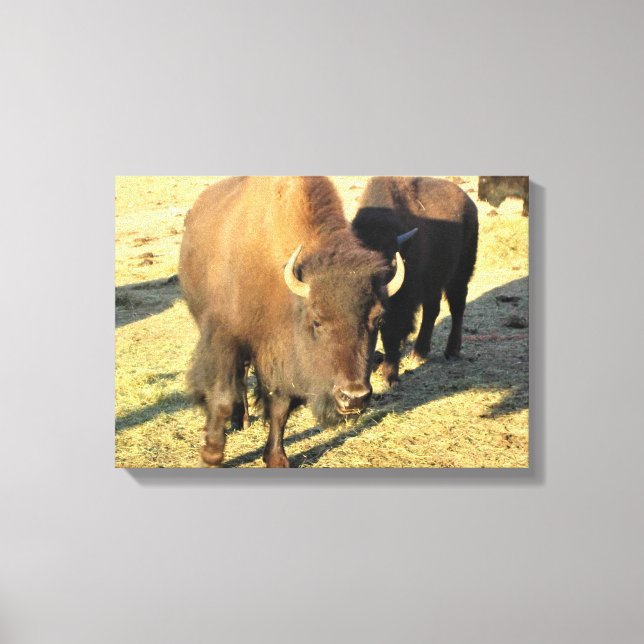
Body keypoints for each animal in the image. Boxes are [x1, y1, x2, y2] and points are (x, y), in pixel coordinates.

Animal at [179, 177, 405, 467]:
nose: (353, 397)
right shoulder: (225, 338)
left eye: (378, 319)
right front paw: (211, 456)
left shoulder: (279, 356)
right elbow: (221, 397)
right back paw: (238, 422)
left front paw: (276, 458)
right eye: (317, 320)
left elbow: (280, 406)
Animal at [352, 177, 478, 386]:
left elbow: (391, 335)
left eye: (391, 260)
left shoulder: (401, 306)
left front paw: (390, 378)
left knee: (457, 307)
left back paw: (451, 351)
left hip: (459, 275)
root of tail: (469, 204)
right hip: (434, 283)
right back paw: (419, 353)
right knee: (432, 310)